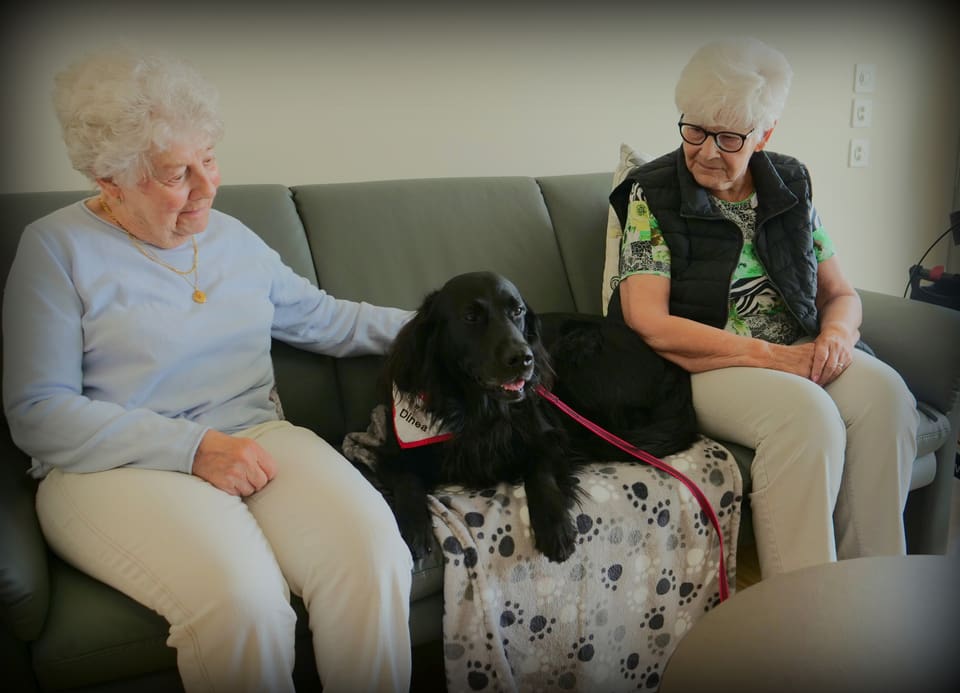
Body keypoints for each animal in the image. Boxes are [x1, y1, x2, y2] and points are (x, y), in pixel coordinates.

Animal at [376, 270, 696, 564]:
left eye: (517, 311)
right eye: (470, 316)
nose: (524, 358)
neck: (479, 411)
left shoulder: (548, 435)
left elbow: (540, 471)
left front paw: (553, 524)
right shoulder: (392, 452)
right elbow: (406, 481)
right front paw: (414, 529)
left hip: (576, 349)